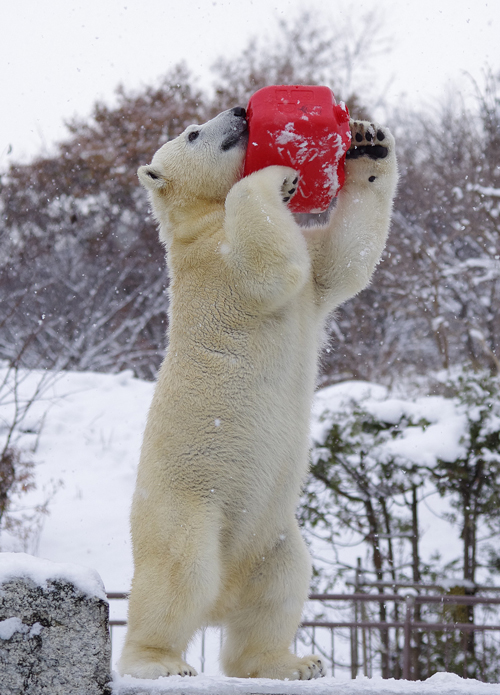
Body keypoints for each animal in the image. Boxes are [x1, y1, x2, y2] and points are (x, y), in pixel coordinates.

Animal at [118, 107, 398, 680]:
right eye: (193, 134)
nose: (239, 112)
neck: (196, 224)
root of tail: (222, 595)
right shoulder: (216, 264)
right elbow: (269, 265)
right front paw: (277, 177)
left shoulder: (309, 277)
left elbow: (342, 260)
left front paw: (369, 142)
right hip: (186, 507)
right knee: (177, 575)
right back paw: (160, 662)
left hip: (274, 534)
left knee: (281, 584)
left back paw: (291, 663)